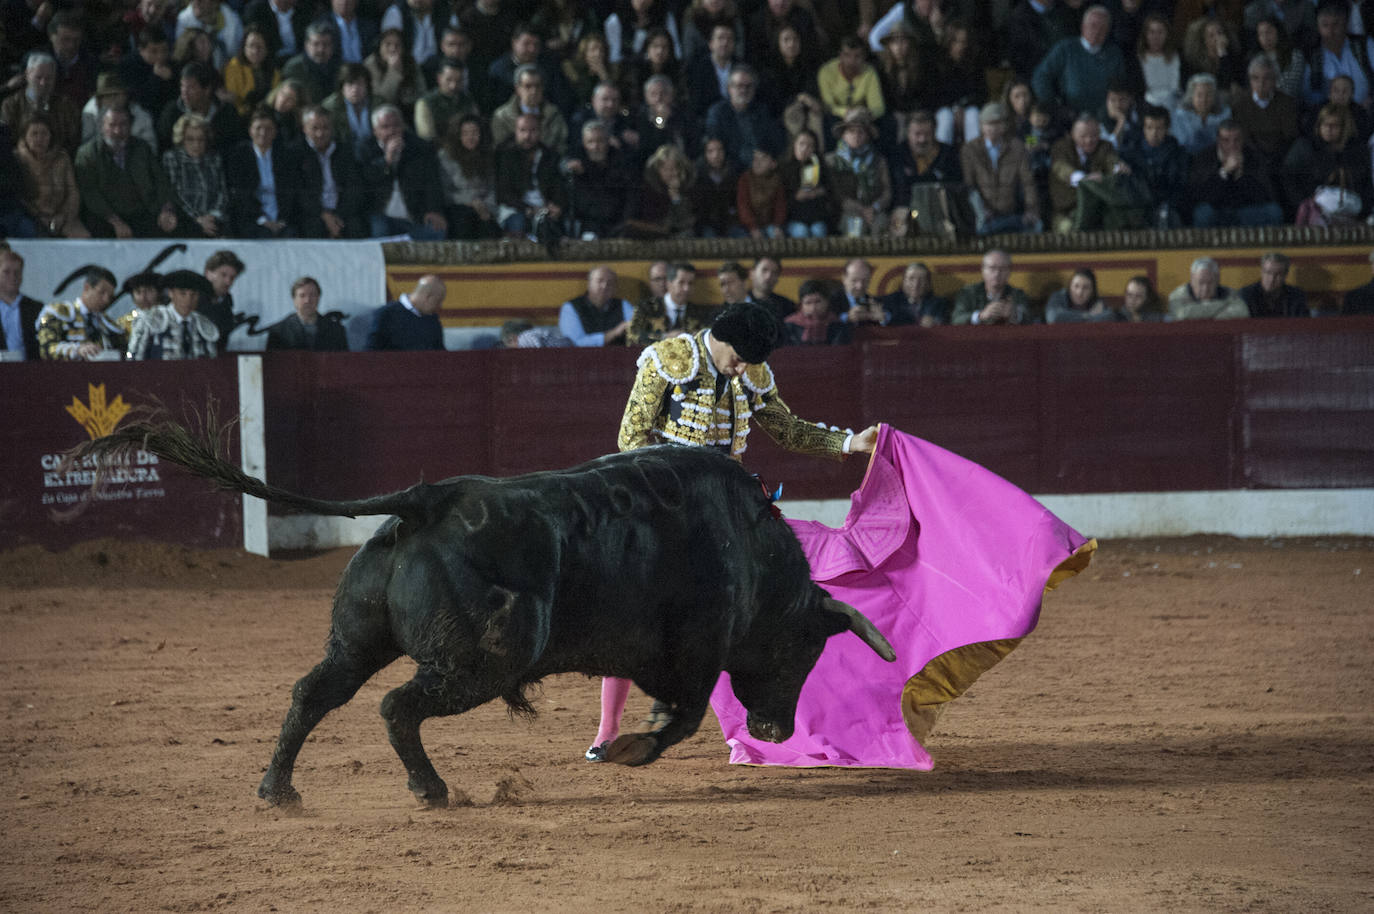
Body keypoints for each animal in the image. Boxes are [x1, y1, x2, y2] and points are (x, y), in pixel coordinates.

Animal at [75, 420, 895, 808]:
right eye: (803, 651)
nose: (777, 731)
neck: (751, 548)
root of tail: (427, 500)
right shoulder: (696, 649)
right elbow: (685, 716)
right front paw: (629, 751)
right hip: (486, 659)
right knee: (396, 706)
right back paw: (431, 791)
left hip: (358, 638)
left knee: (315, 692)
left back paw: (279, 792)